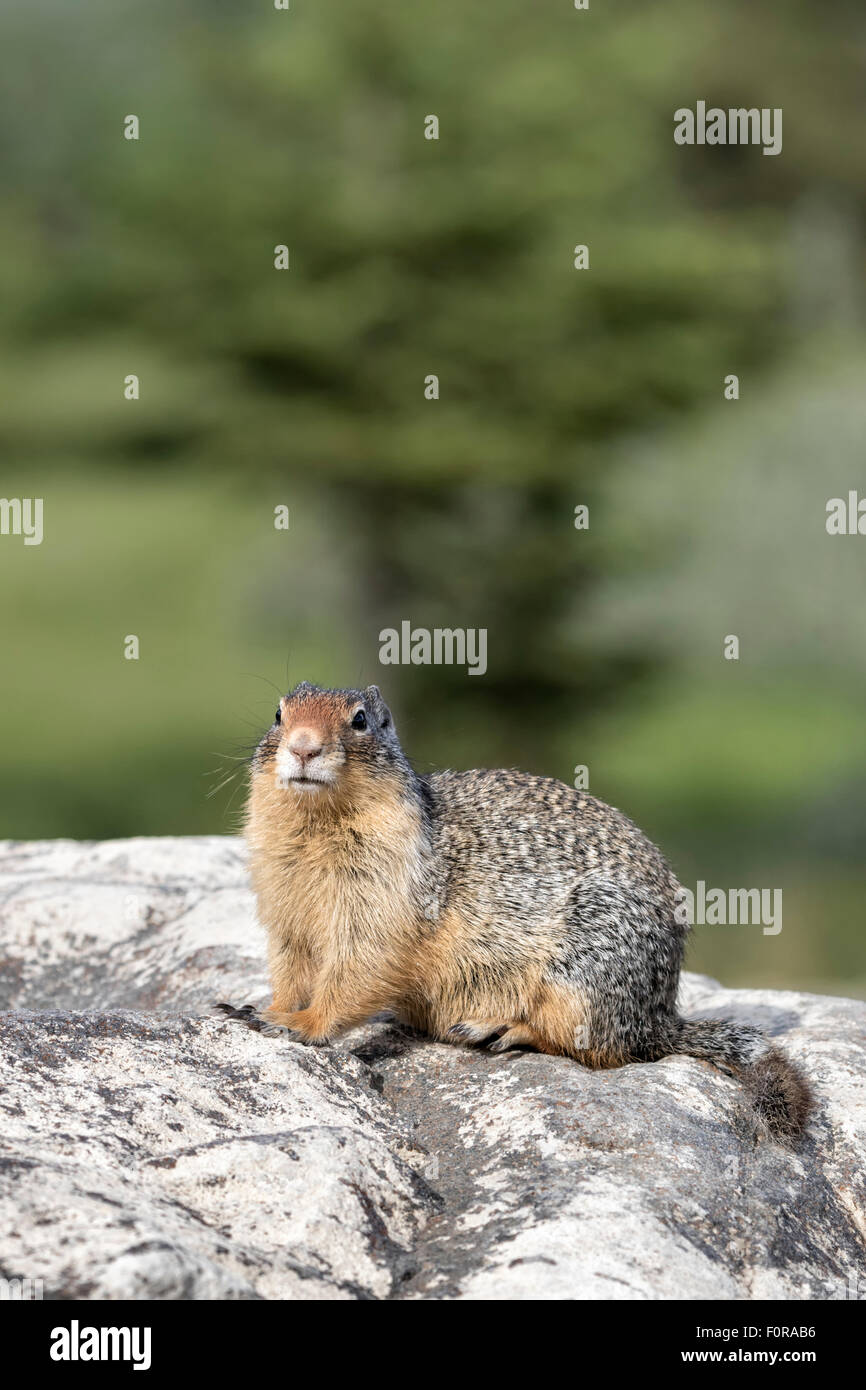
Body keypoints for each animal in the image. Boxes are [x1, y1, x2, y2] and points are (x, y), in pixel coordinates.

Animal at [219, 675, 817, 1139]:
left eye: (361, 720)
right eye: (279, 712)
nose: (302, 746)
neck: (315, 825)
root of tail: (660, 1016)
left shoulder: (382, 897)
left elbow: (357, 968)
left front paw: (301, 1023)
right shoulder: (284, 908)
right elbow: (291, 966)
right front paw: (261, 1008)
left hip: (585, 969)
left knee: (605, 1049)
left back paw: (500, 1028)